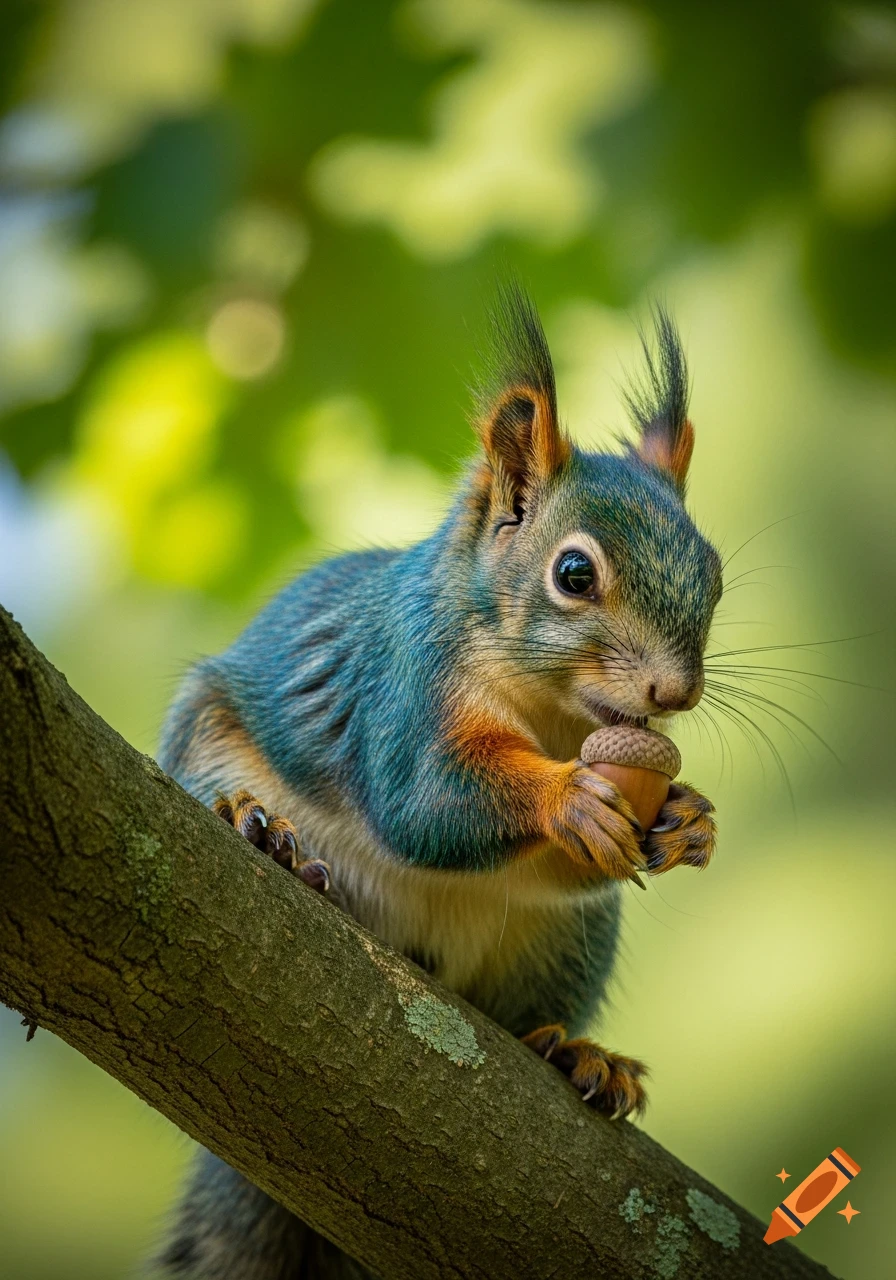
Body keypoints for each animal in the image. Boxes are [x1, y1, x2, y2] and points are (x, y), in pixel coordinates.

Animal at [149, 286, 721, 1279]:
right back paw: (262, 834)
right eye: (574, 573)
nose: (673, 694)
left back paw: (578, 1057)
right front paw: (566, 797)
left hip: (563, 945)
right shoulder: (403, 685)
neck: (554, 717)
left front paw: (689, 820)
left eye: (715, 576)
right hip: (212, 744)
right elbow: (428, 800)